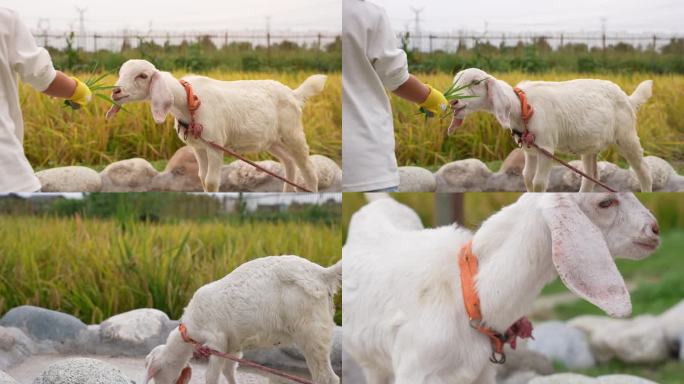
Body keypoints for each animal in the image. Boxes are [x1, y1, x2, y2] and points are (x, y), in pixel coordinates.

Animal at [108, 59, 328, 192]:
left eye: (142, 76)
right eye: (121, 72)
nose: (116, 91)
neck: (188, 100)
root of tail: (294, 94)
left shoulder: (215, 144)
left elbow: (212, 181)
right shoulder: (198, 147)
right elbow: (202, 178)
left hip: (293, 133)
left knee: (308, 169)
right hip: (272, 140)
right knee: (289, 162)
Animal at [144, 255, 340, 384]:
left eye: (156, 374)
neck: (190, 331)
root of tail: (322, 273)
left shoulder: (217, 341)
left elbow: (211, 376)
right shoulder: (232, 347)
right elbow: (228, 370)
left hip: (312, 333)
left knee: (327, 378)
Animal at [448, 68, 652, 192]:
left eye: (475, 82)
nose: (453, 101)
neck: (523, 106)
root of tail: (628, 98)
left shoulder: (546, 147)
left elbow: (538, 183)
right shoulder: (529, 150)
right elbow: (527, 177)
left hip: (626, 135)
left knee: (643, 171)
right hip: (589, 146)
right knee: (591, 176)